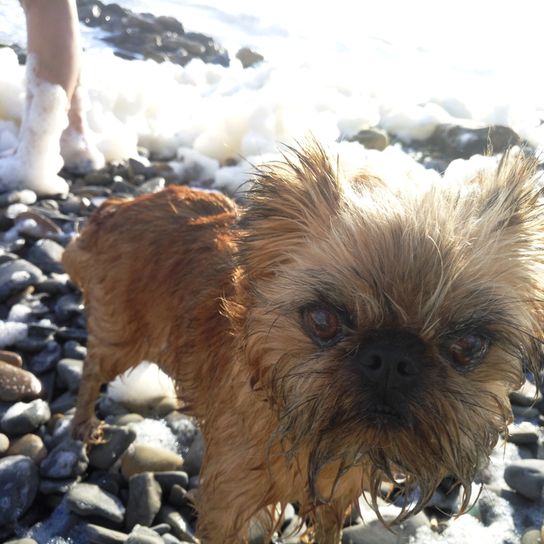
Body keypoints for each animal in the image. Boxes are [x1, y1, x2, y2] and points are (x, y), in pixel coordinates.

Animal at [62, 144, 544, 544]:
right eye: (322, 321)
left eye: (468, 345)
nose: (392, 357)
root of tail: (114, 208)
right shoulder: (226, 507)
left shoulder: (334, 496)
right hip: (120, 338)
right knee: (91, 373)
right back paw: (83, 425)